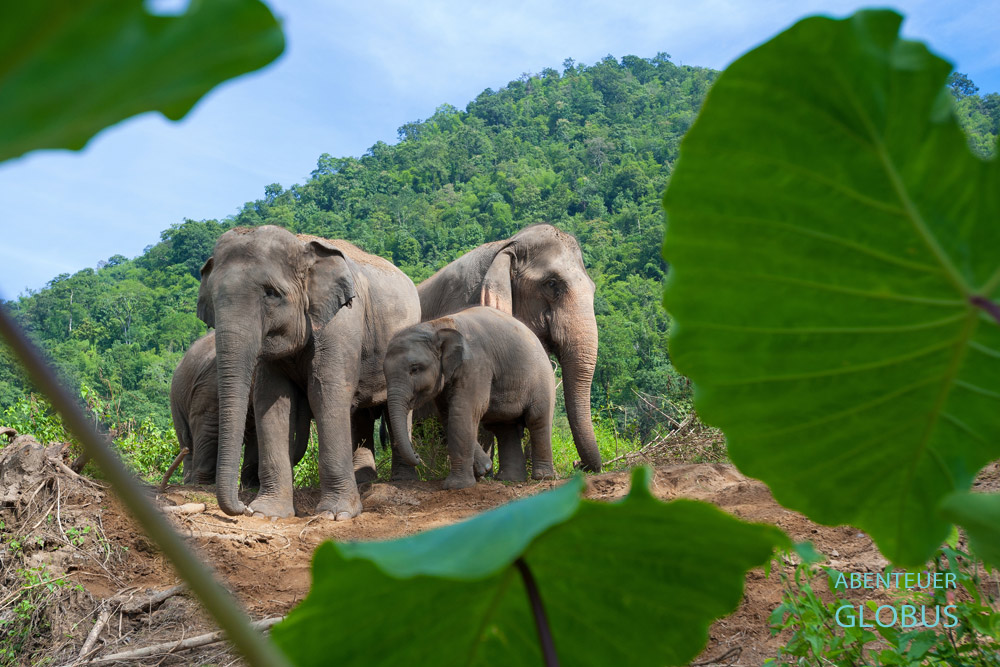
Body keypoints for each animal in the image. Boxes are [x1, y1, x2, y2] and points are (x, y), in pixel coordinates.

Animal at [169, 331, 310, 487]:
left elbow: (256, 432)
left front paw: (250, 485)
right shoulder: (210, 383)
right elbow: (207, 423)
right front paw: (202, 483)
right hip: (176, 400)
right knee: (186, 440)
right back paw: (190, 482)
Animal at [197, 225, 420, 519]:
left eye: (272, 293)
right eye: (212, 301)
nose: (242, 508)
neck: (301, 245)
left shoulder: (341, 323)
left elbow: (326, 394)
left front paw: (335, 514)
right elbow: (272, 402)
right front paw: (267, 513)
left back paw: (403, 481)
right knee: (360, 414)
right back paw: (364, 480)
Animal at [385, 307, 555, 489]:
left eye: (415, 369)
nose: (417, 456)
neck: (436, 325)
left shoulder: (476, 365)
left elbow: (463, 411)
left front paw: (456, 486)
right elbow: (448, 414)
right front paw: (483, 468)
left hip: (543, 380)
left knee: (537, 419)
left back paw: (543, 476)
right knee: (504, 428)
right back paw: (510, 479)